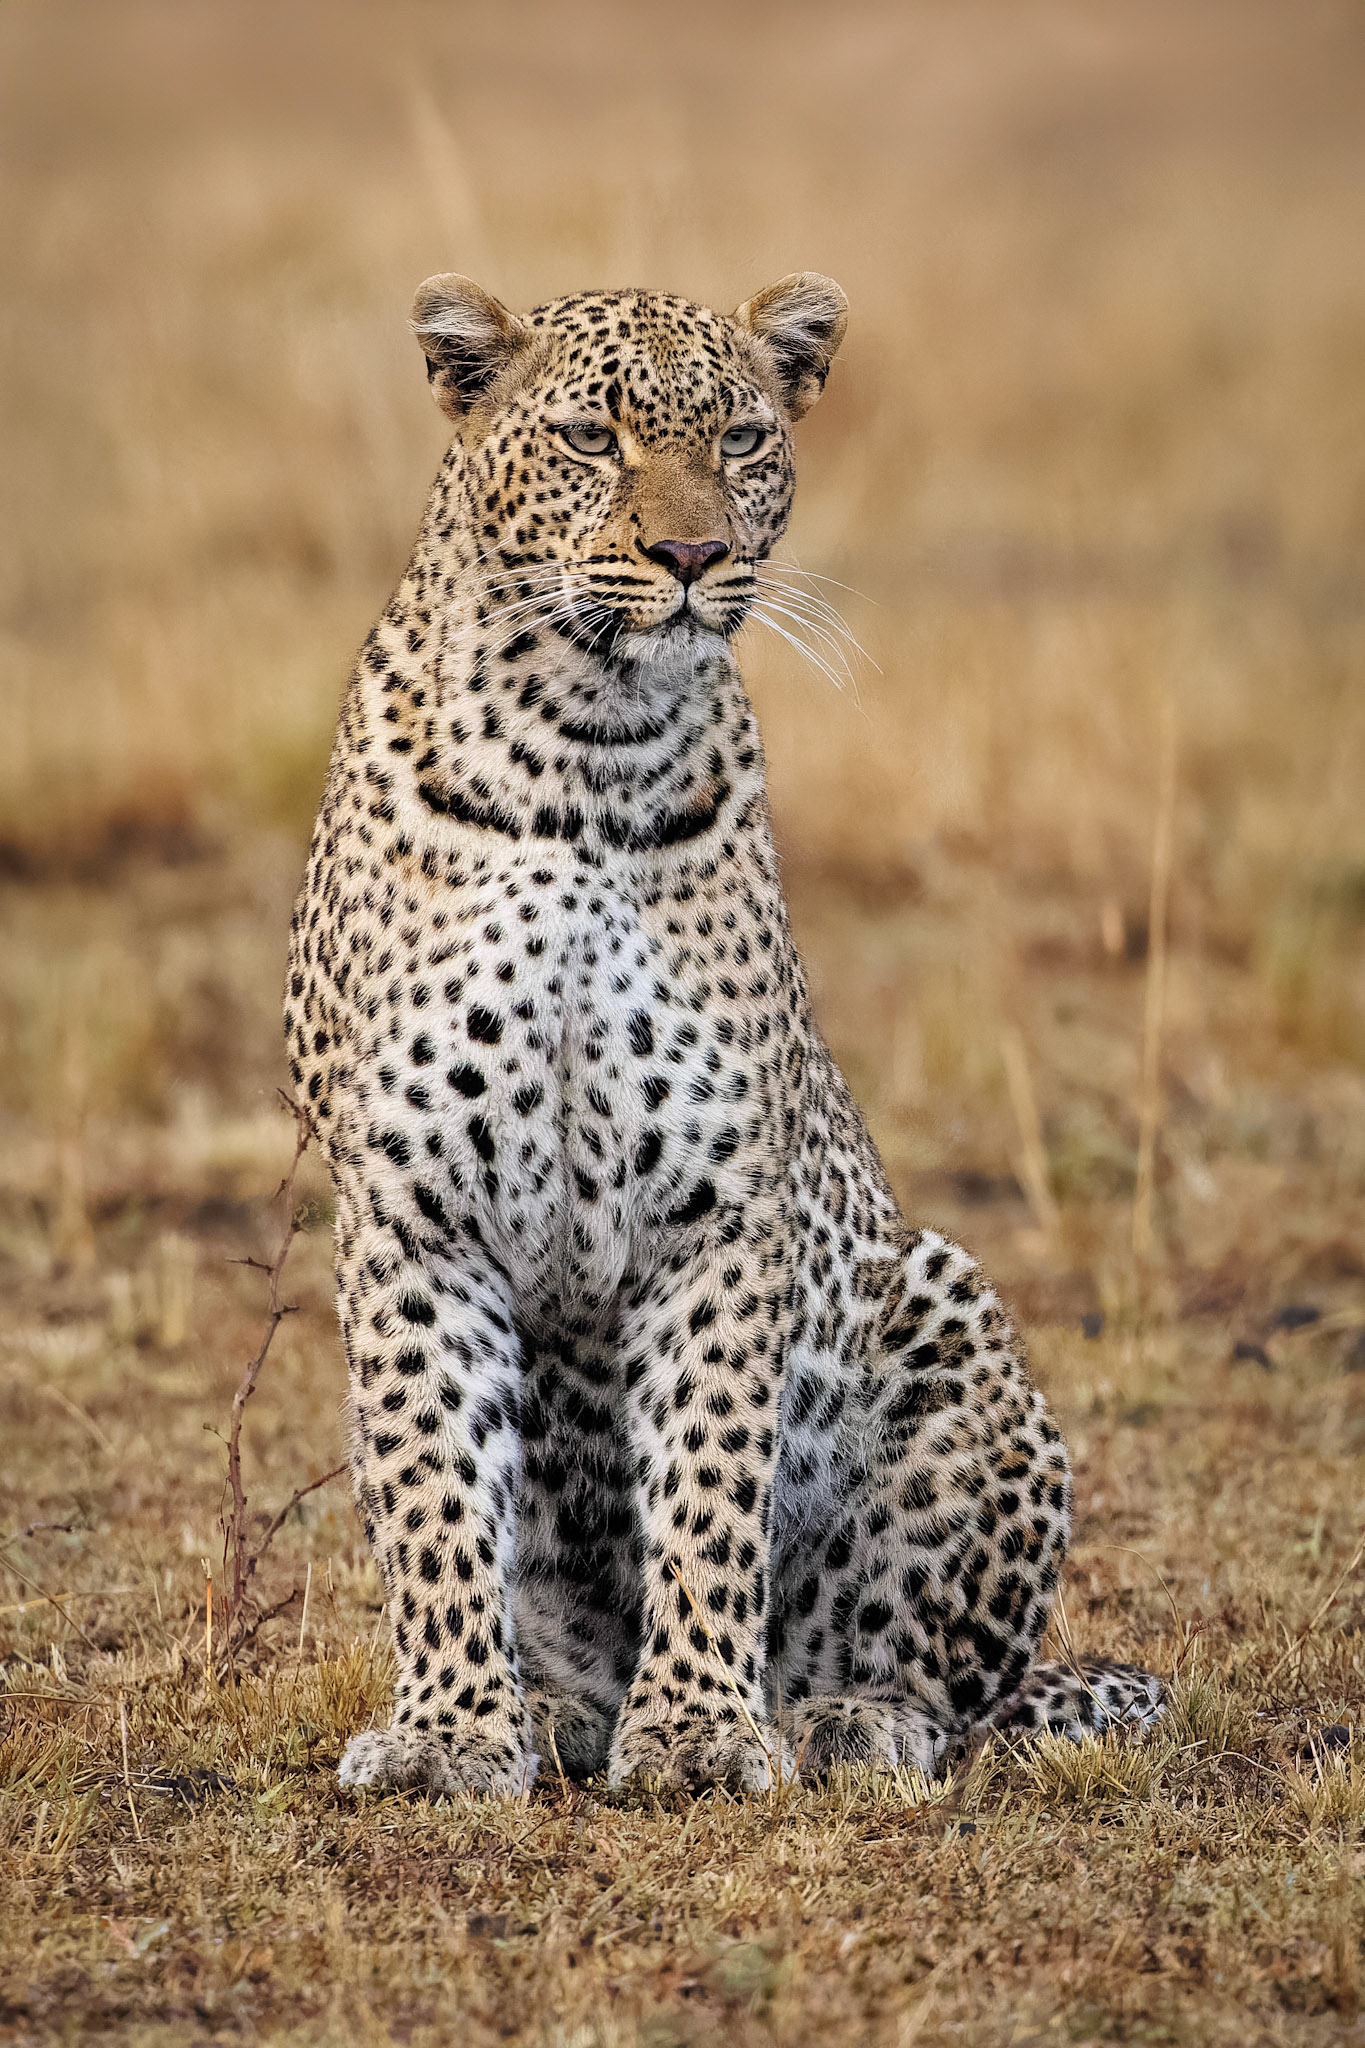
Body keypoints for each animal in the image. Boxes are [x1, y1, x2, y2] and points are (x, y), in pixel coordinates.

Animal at [285, 269, 1164, 1797]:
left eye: (744, 438)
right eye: (591, 437)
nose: (692, 552)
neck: (583, 748)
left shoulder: (722, 1204)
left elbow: (708, 1480)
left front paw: (698, 1727)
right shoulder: (411, 1204)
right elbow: (432, 1489)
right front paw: (451, 1734)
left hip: (944, 1302)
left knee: (944, 1680)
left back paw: (840, 1717)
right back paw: (553, 1710)